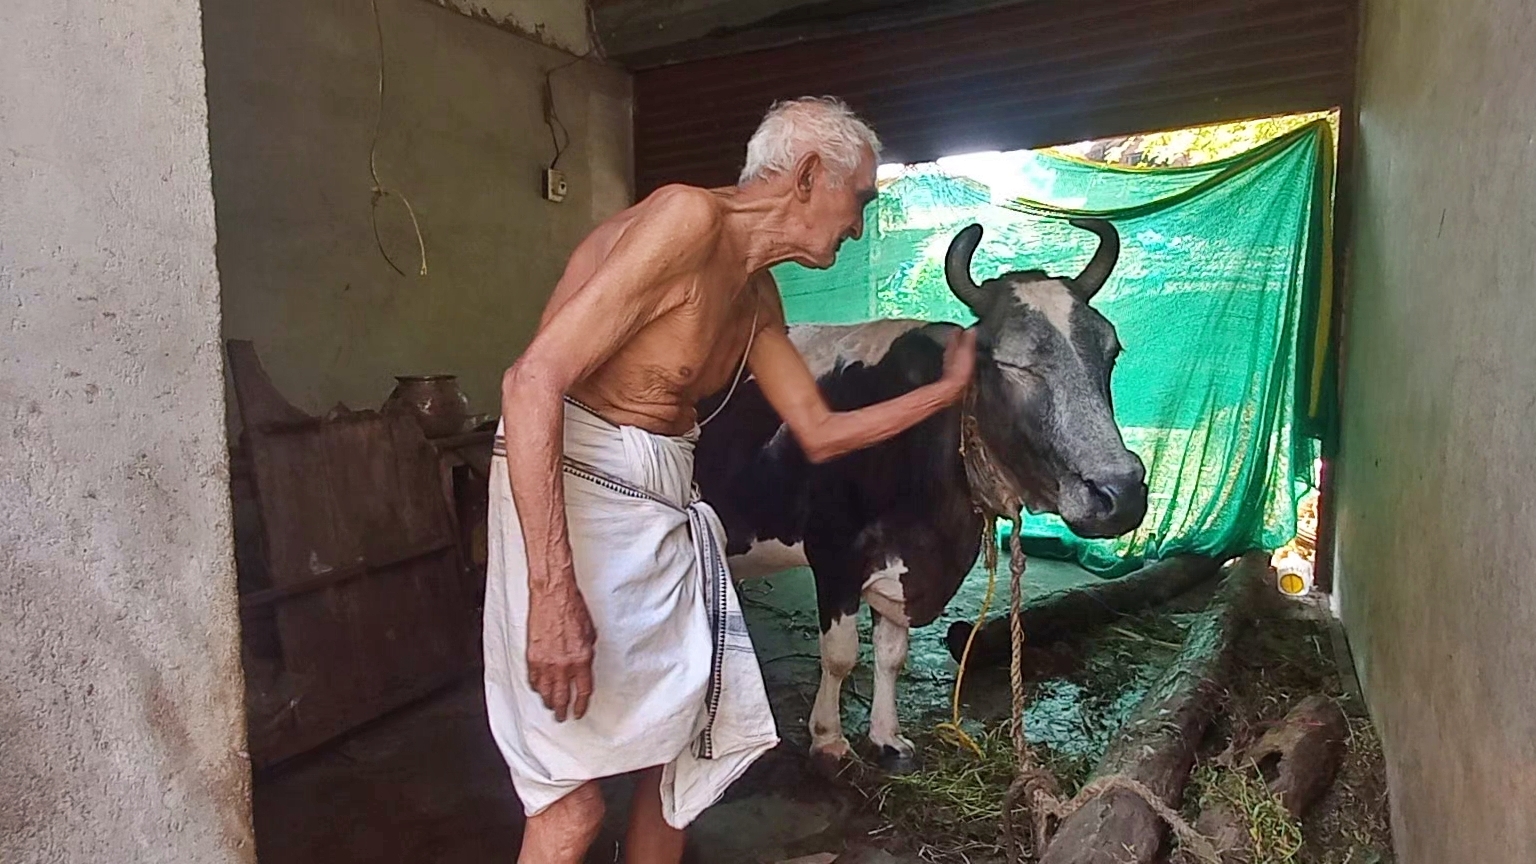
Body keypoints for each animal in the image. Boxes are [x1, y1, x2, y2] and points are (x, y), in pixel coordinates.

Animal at [694, 218, 1142, 768]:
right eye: (1014, 363)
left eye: (1111, 351)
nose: (1121, 491)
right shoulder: (835, 553)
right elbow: (841, 654)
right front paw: (829, 738)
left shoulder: (905, 562)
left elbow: (892, 654)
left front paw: (887, 735)